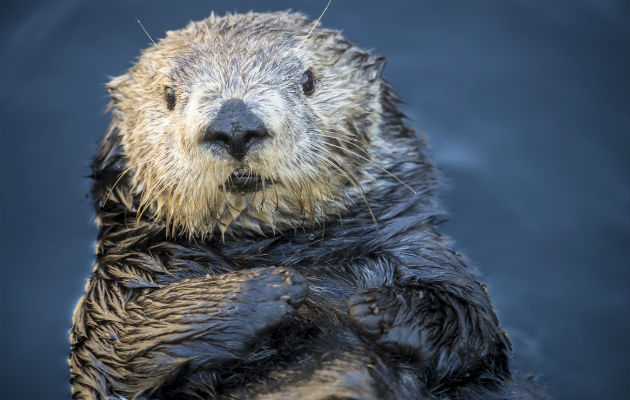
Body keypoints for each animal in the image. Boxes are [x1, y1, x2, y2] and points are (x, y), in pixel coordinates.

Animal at [70, 10, 548, 398]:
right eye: (169, 94)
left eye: (308, 80)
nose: (235, 124)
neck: (279, 247)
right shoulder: (115, 290)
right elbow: (119, 345)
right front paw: (272, 287)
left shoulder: (422, 252)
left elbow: (470, 321)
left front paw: (376, 308)